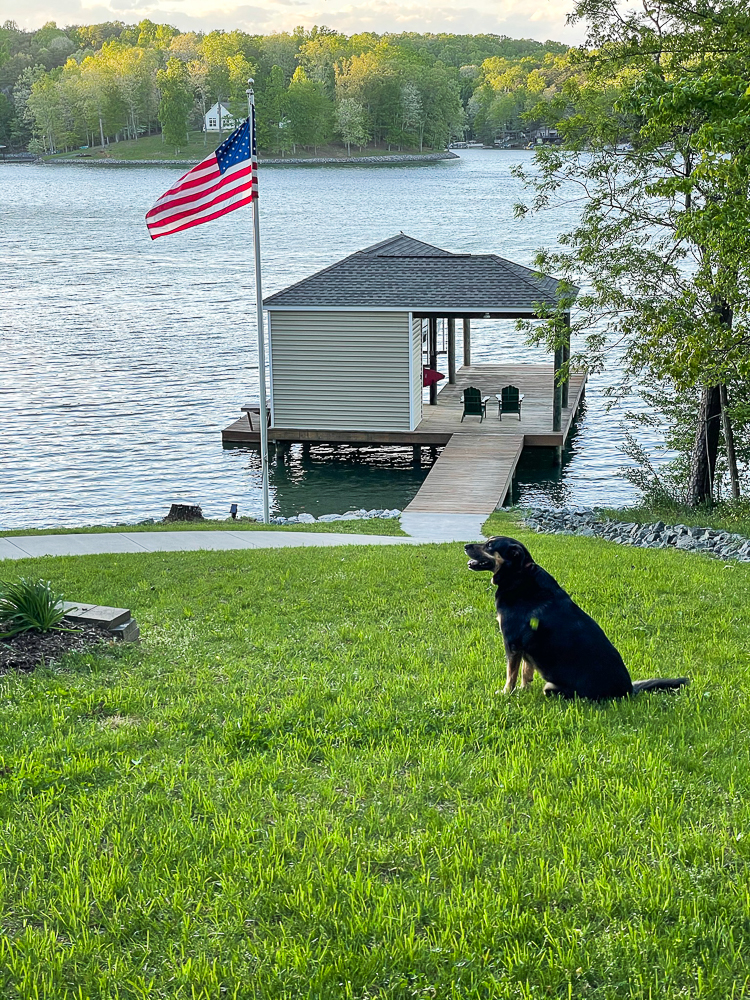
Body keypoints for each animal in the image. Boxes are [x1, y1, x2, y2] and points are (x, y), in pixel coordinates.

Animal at [464, 536, 692, 700]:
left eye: (490, 545)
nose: (465, 545)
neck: (519, 574)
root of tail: (628, 690)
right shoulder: (526, 649)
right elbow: (526, 673)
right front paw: (523, 691)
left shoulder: (512, 643)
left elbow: (511, 674)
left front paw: (506, 693)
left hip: (552, 687)